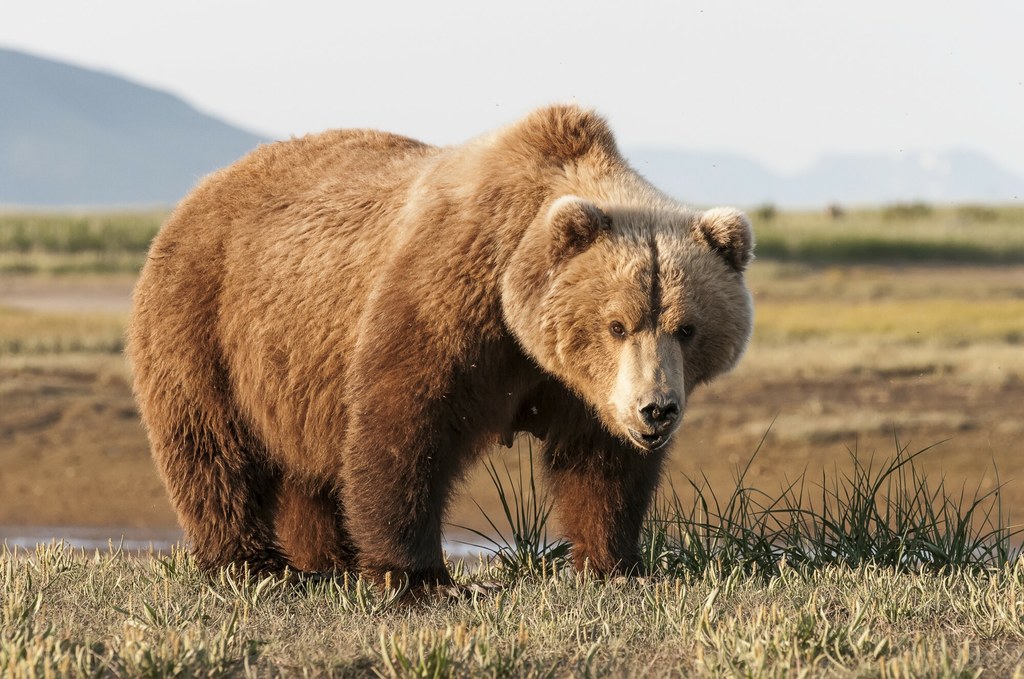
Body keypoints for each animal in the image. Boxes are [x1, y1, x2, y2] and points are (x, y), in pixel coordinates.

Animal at [125, 103, 753, 585]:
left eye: (686, 327)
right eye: (616, 324)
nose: (656, 410)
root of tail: (198, 192)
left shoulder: (582, 385)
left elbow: (599, 463)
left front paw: (613, 563)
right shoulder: (452, 299)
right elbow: (406, 425)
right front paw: (416, 577)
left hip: (295, 372)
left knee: (308, 467)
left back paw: (326, 560)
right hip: (205, 318)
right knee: (211, 449)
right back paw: (250, 563)